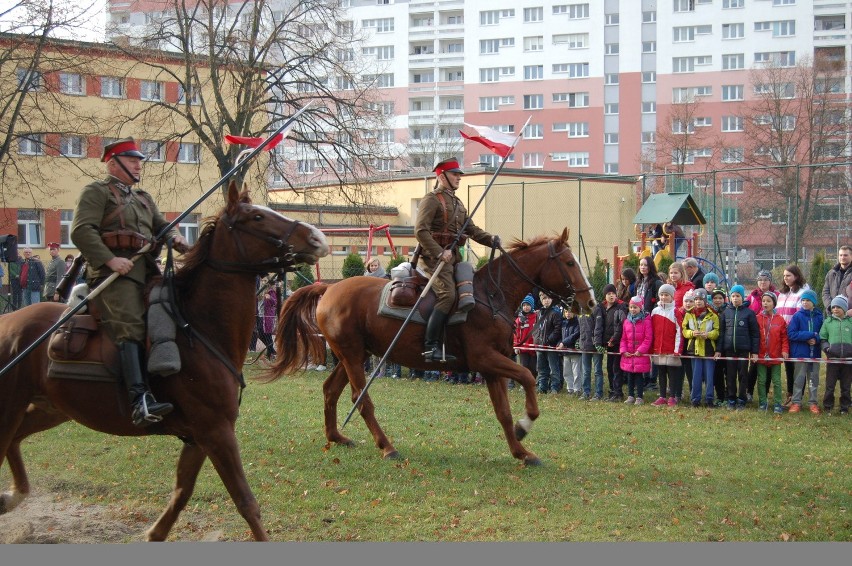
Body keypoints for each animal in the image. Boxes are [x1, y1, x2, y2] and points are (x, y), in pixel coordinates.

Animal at [0, 184, 326, 544]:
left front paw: (154, 533)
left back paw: (12, 496)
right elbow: (246, 502)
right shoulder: (216, 430)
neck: (199, 327)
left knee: (15, 439)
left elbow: (181, 493)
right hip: (12, 408)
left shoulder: (200, 437)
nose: (317, 238)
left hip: (51, 409)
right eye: (256, 217)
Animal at [270, 229, 596, 468]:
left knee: (330, 390)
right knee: (360, 399)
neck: (490, 296)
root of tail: (329, 288)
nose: (590, 302)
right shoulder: (486, 359)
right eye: (570, 263)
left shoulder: (493, 367)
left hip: (353, 355)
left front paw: (521, 451)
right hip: (351, 355)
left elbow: (503, 411)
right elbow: (528, 378)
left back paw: (337, 436)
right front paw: (524, 425)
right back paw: (387, 447)